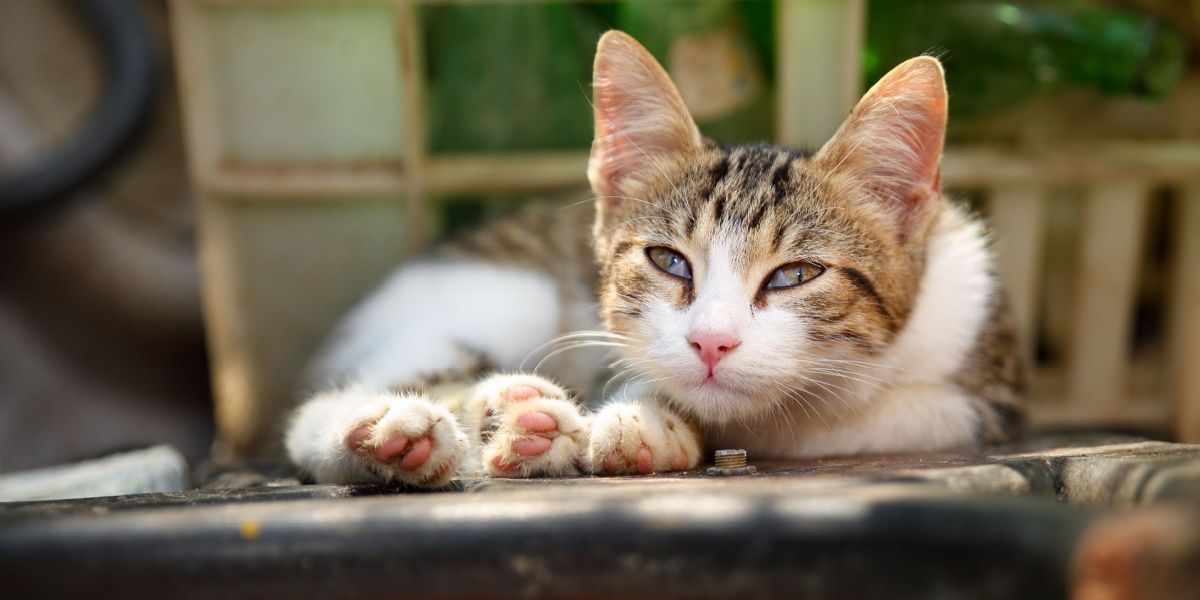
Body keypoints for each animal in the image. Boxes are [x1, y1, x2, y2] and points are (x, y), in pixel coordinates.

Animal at [283, 29, 1022, 487]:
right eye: (670, 262)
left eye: (796, 274)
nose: (710, 343)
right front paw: (646, 410)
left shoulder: (985, 392)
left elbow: (821, 416)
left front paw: (656, 420)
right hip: (495, 293)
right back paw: (400, 430)